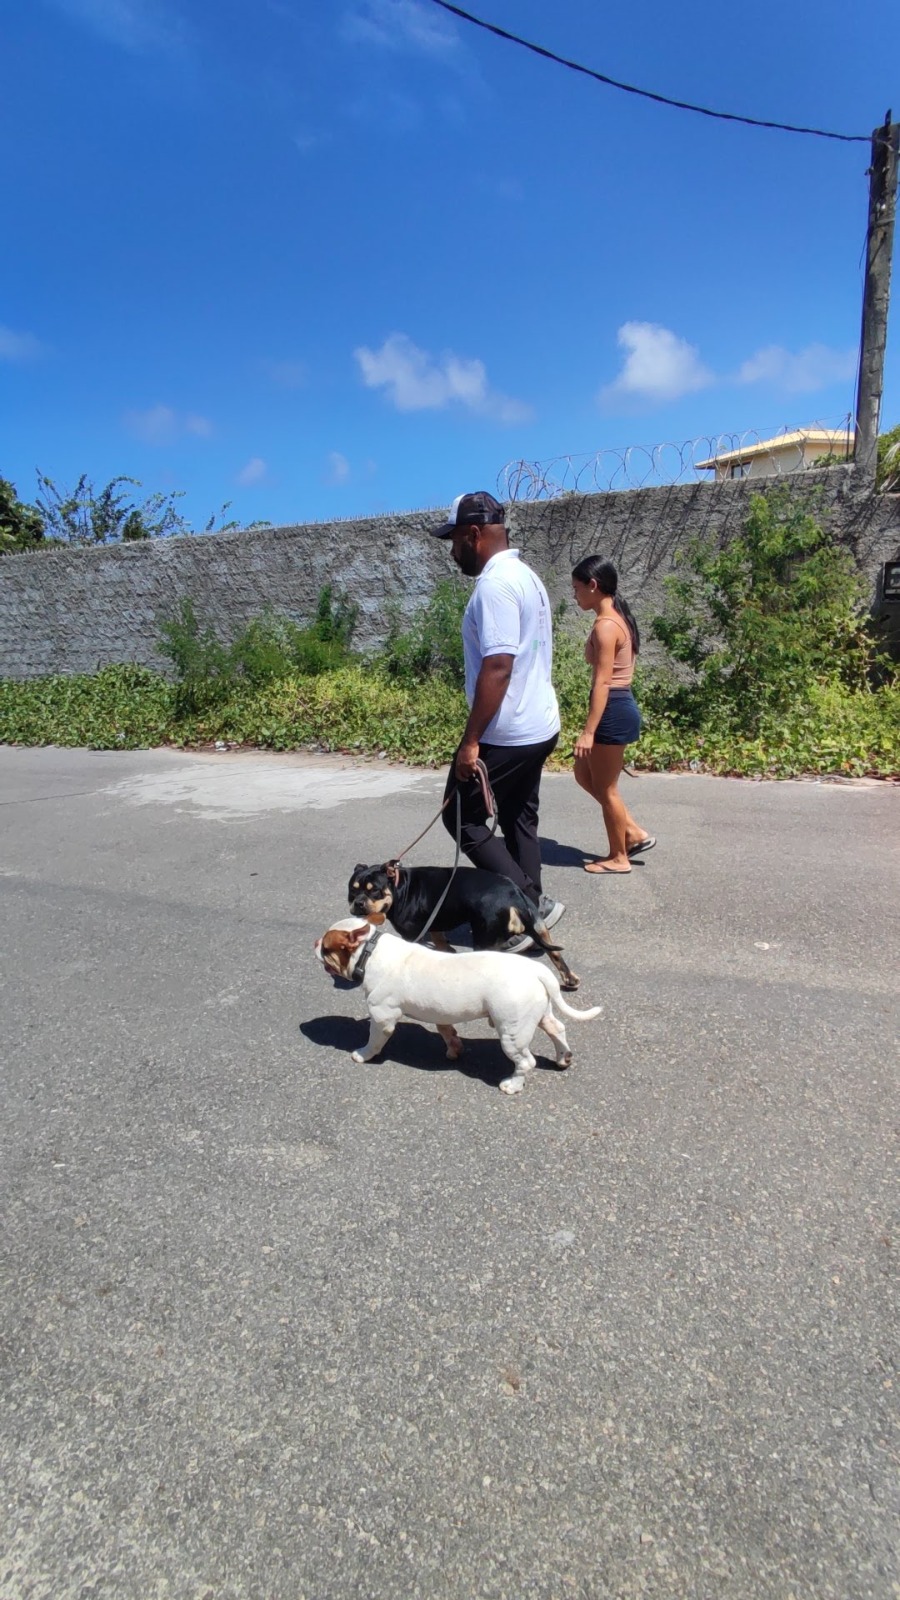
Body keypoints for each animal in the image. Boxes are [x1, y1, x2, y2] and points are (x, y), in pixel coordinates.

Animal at [315, 921, 602, 1094]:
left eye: (327, 947)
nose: (314, 943)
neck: (370, 950)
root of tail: (536, 970)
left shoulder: (382, 1017)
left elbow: (374, 1040)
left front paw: (363, 1054)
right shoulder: (440, 1014)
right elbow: (446, 1031)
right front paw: (454, 1049)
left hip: (513, 1031)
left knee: (526, 1060)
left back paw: (512, 1084)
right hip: (538, 1014)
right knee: (557, 1028)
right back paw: (563, 1058)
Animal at [347, 864, 576, 985]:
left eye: (374, 891)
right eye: (352, 890)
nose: (358, 903)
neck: (399, 888)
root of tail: (515, 896)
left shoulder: (413, 935)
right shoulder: (433, 923)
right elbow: (439, 940)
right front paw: (447, 951)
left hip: (485, 939)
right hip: (540, 927)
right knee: (555, 954)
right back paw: (570, 978)